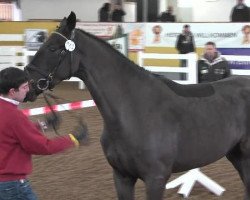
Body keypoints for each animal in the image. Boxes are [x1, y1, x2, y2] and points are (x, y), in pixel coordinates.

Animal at [24, 12, 250, 198]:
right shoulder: (122, 177)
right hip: (237, 156)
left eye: (53, 48)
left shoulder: (155, 179)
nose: (28, 83)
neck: (133, 110)